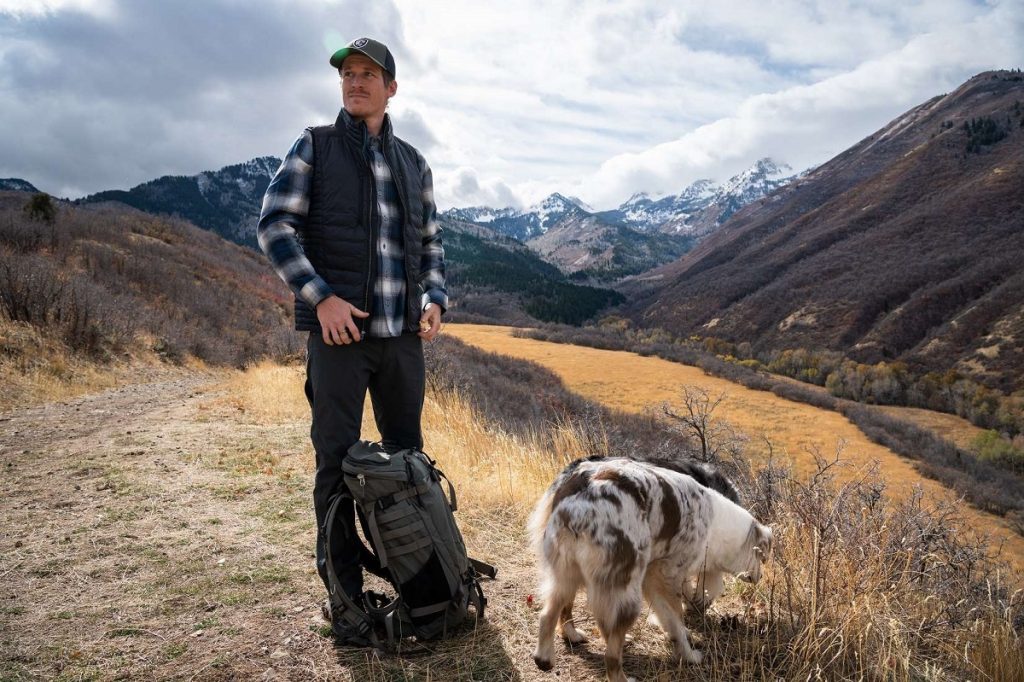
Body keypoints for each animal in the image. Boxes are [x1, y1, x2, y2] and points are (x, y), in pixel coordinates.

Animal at [532, 456, 770, 679]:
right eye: (762, 557)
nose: (760, 578)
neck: (715, 524)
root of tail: (582, 499)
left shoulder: (652, 580)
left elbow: (670, 618)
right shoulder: (667, 576)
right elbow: (676, 619)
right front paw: (689, 654)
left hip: (567, 575)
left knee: (550, 613)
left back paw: (550, 654)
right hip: (625, 592)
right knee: (611, 654)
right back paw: (622, 675)